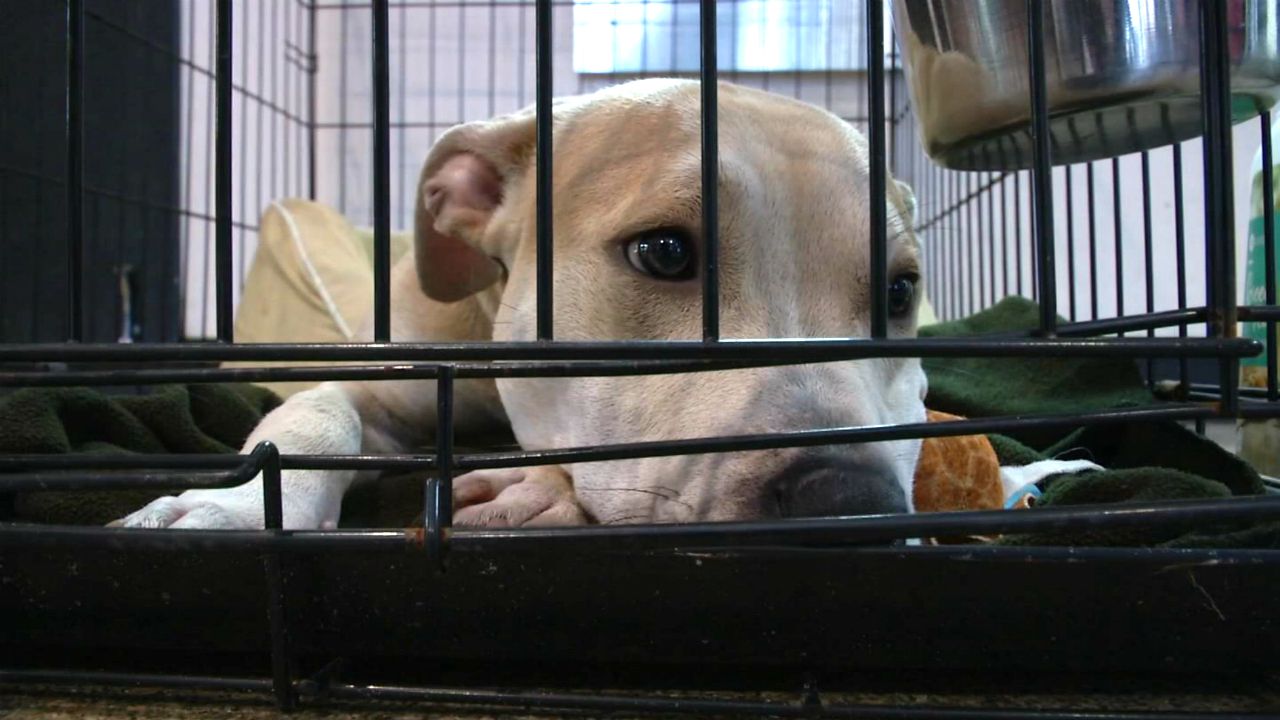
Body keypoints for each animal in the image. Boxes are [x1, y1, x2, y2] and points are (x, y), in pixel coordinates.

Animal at [112, 81, 931, 530]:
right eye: (664, 252)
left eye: (900, 291)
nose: (849, 500)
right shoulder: (374, 389)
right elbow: (312, 422)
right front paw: (238, 507)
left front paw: (537, 494)